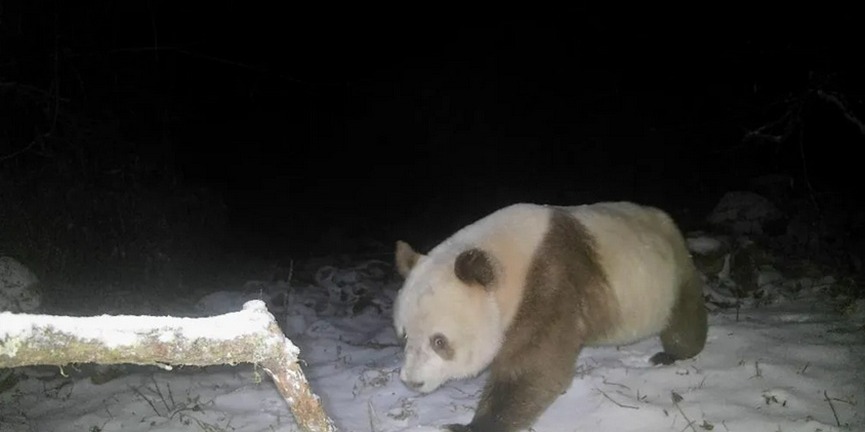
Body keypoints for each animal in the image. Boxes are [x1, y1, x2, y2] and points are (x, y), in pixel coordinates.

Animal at [392, 202, 708, 432]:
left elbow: (535, 365)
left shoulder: (549, 282)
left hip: (671, 272)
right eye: (404, 335)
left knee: (683, 316)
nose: (412, 382)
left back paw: (672, 354)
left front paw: (470, 426)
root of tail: (663, 217)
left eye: (439, 341)